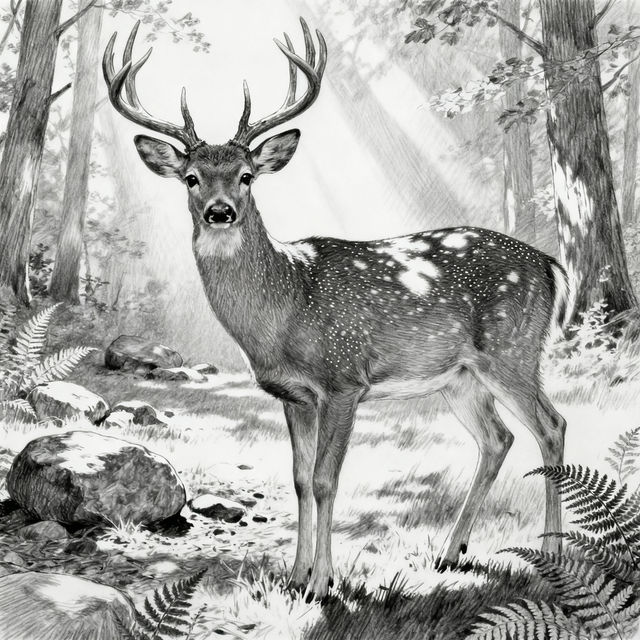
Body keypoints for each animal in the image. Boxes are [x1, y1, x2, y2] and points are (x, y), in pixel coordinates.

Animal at [103, 19, 568, 600]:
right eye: (191, 178)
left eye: (247, 175)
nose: (220, 212)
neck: (286, 308)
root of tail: (550, 264)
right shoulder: (295, 395)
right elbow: (301, 479)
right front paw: (294, 574)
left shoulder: (344, 380)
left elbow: (327, 479)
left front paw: (323, 582)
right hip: (460, 376)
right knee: (498, 439)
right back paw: (450, 552)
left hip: (513, 350)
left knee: (551, 426)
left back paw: (553, 551)